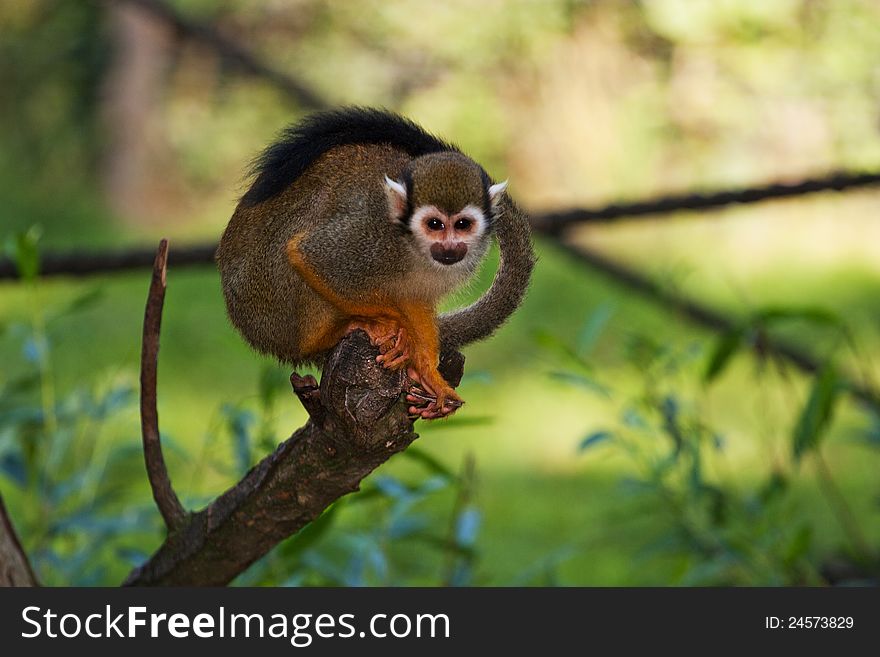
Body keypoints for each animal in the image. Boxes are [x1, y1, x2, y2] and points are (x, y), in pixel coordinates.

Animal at [218, 105, 536, 418]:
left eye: (462, 225)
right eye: (434, 224)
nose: (450, 247)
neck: (411, 244)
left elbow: (415, 299)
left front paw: (426, 371)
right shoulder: (371, 234)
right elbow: (309, 255)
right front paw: (391, 323)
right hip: (272, 308)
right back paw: (337, 332)